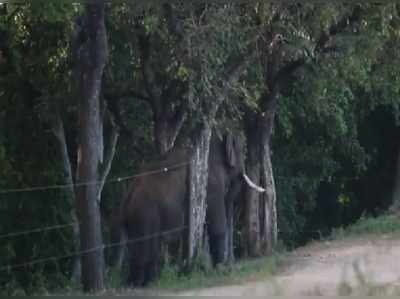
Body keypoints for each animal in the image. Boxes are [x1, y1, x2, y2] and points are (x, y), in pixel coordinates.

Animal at [110, 132, 266, 288]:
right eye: (242, 152)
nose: (230, 266)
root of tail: (127, 197)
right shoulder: (212, 185)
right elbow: (217, 224)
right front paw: (219, 270)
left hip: (136, 217)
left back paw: (138, 282)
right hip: (145, 213)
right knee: (147, 244)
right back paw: (142, 283)